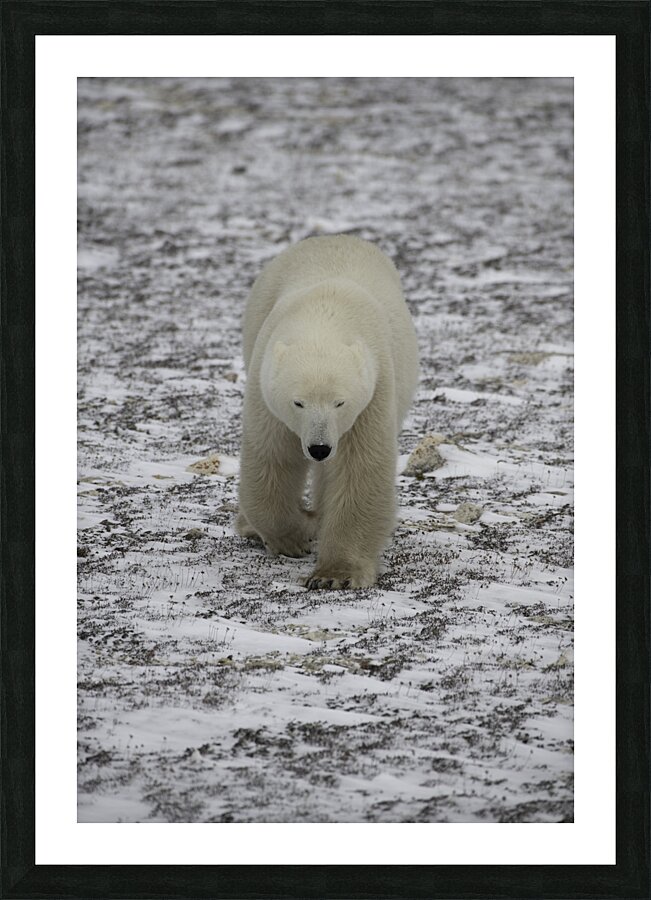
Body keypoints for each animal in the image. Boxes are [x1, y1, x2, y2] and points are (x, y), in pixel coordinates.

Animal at [236, 235, 419, 589]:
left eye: (340, 402)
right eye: (298, 402)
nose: (319, 448)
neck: (324, 315)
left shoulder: (373, 389)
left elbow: (359, 469)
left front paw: (334, 574)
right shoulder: (265, 383)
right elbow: (272, 457)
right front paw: (293, 537)